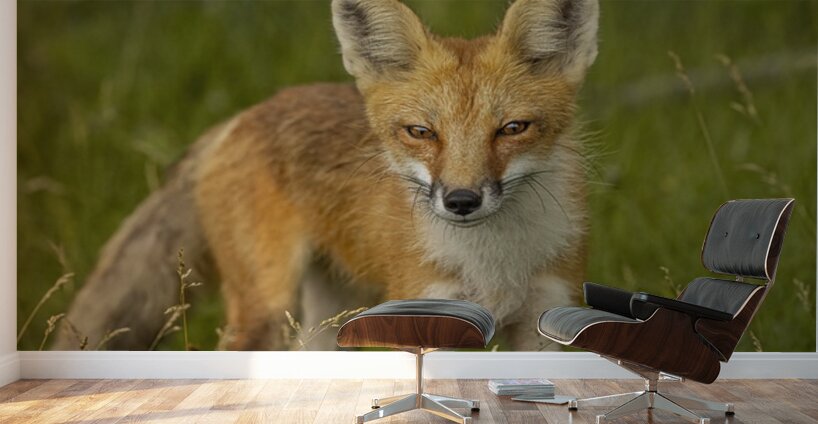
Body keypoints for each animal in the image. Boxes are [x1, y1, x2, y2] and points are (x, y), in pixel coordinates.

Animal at [54, 0, 599, 351]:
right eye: (421, 132)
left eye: (512, 129)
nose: (461, 200)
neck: (494, 266)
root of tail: (244, 115)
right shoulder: (427, 314)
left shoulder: (542, 321)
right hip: (265, 312)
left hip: (329, 314)